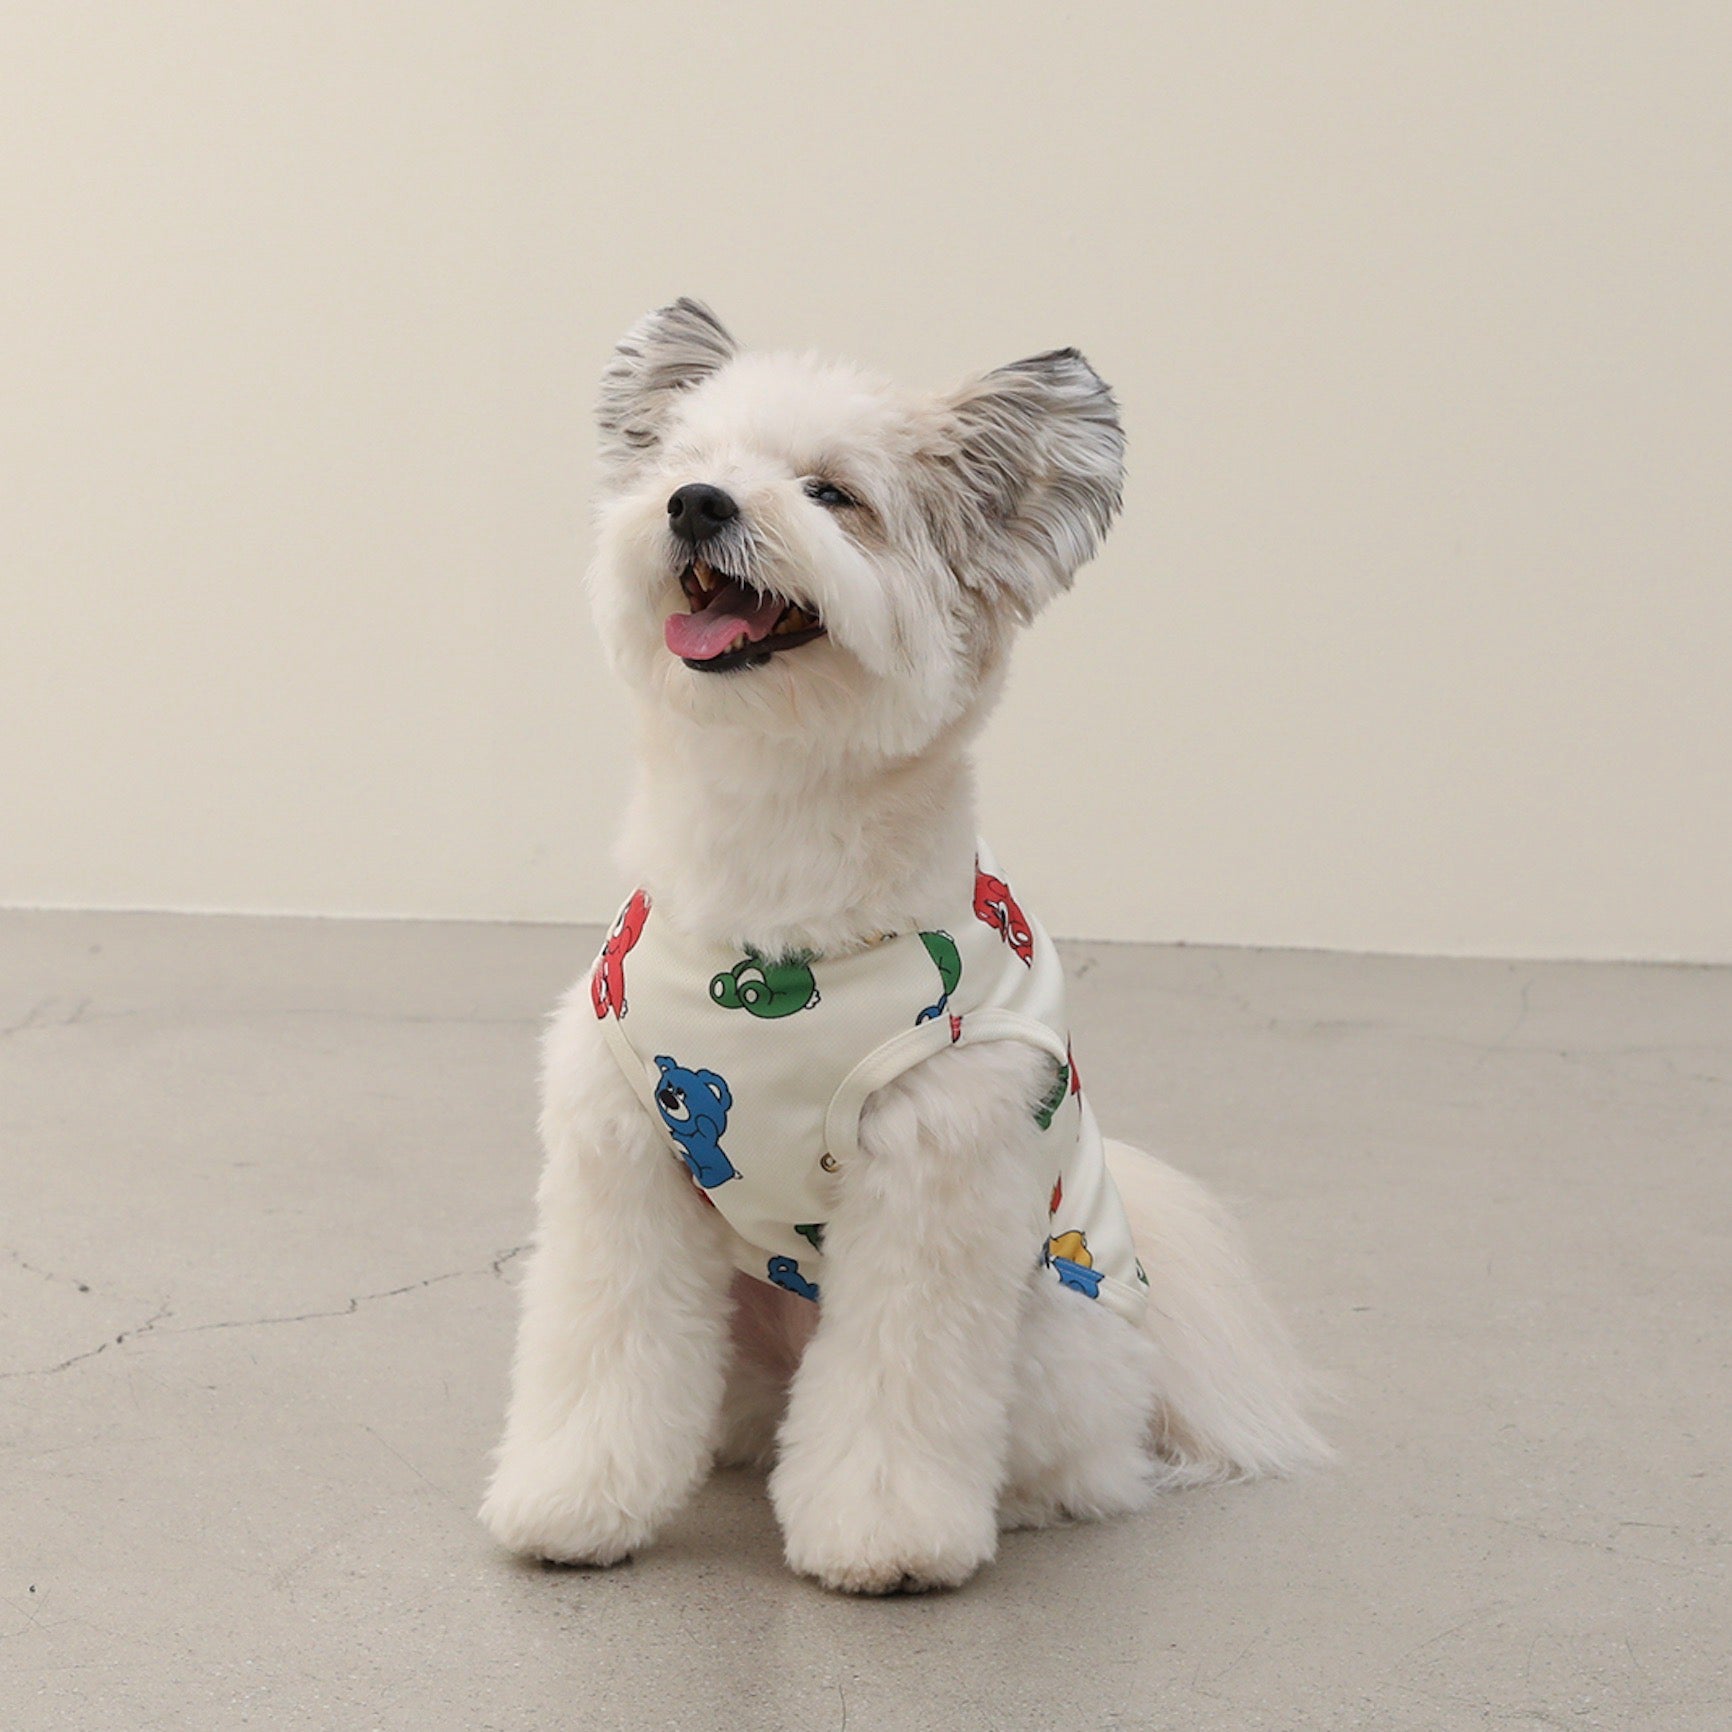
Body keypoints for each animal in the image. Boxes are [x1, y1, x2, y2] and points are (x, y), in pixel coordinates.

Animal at [480, 299, 1324, 1593]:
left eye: (832, 494)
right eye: (684, 464)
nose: (696, 505)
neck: (775, 878)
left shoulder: (933, 1175)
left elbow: (895, 1384)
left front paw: (884, 1539)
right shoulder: (618, 1155)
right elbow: (602, 1346)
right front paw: (572, 1502)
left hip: (1044, 1345)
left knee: (1076, 1464)